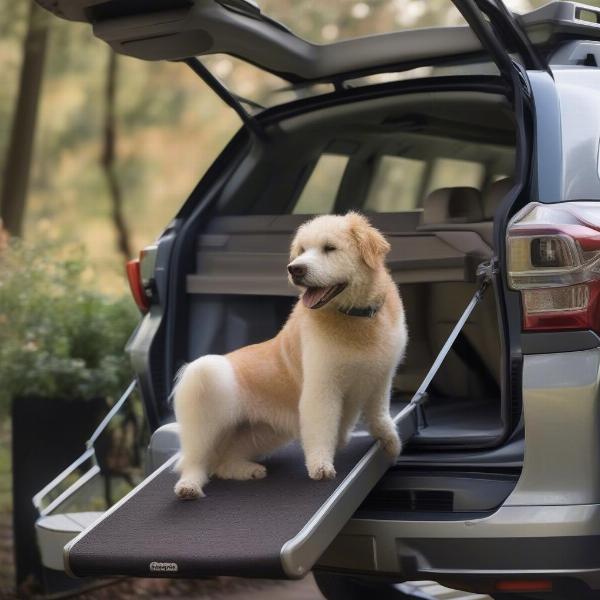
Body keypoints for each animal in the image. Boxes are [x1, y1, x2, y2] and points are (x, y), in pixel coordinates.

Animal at [172, 213, 408, 500]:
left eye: (330, 248)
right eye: (302, 250)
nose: (295, 269)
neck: (355, 317)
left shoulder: (380, 378)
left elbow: (379, 414)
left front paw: (391, 442)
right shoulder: (321, 387)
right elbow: (321, 428)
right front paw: (321, 467)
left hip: (262, 434)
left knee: (221, 463)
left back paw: (247, 470)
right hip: (205, 381)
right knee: (195, 459)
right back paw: (189, 486)